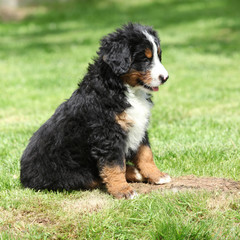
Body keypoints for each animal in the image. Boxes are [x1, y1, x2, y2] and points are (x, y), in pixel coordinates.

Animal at [20, 23, 171, 199]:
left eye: (158, 56)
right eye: (145, 59)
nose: (165, 78)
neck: (123, 88)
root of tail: (24, 177)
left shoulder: (139, 126)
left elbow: (146, 154)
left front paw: (157, 175)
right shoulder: (107, 134)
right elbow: (115, 166)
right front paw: (123, 190)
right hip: (70, 173)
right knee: (94, 177)